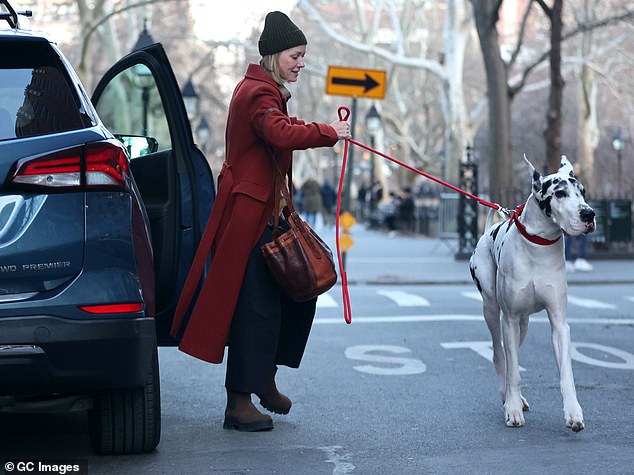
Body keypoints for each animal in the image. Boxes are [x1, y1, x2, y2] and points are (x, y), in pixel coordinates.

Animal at [466, 155, 596, 432]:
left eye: (582, 192)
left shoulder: (559, 324)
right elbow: (514, 370)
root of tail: (487, 232)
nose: (589, 213)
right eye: (559, 193)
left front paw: (573, 412)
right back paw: (507, 397)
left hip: (523, 324)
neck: (540, 244)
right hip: (493, 311)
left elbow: (566, 373)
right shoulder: (509, 319)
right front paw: (513, 409)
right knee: (499, 355)